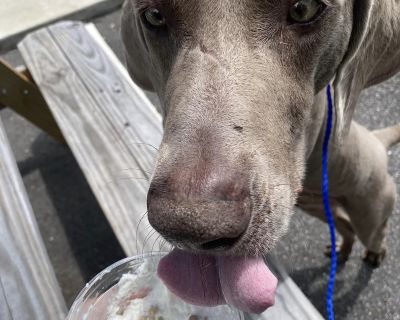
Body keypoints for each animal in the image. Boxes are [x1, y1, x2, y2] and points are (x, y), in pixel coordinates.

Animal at [120, 0, 400, 312]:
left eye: (303, 9)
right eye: (154, 15)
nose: (189, 227)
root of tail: (379, 141)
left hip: (369, 210)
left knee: (376, 231)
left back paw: (375, 252)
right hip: (318, 207)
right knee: (345, 226)